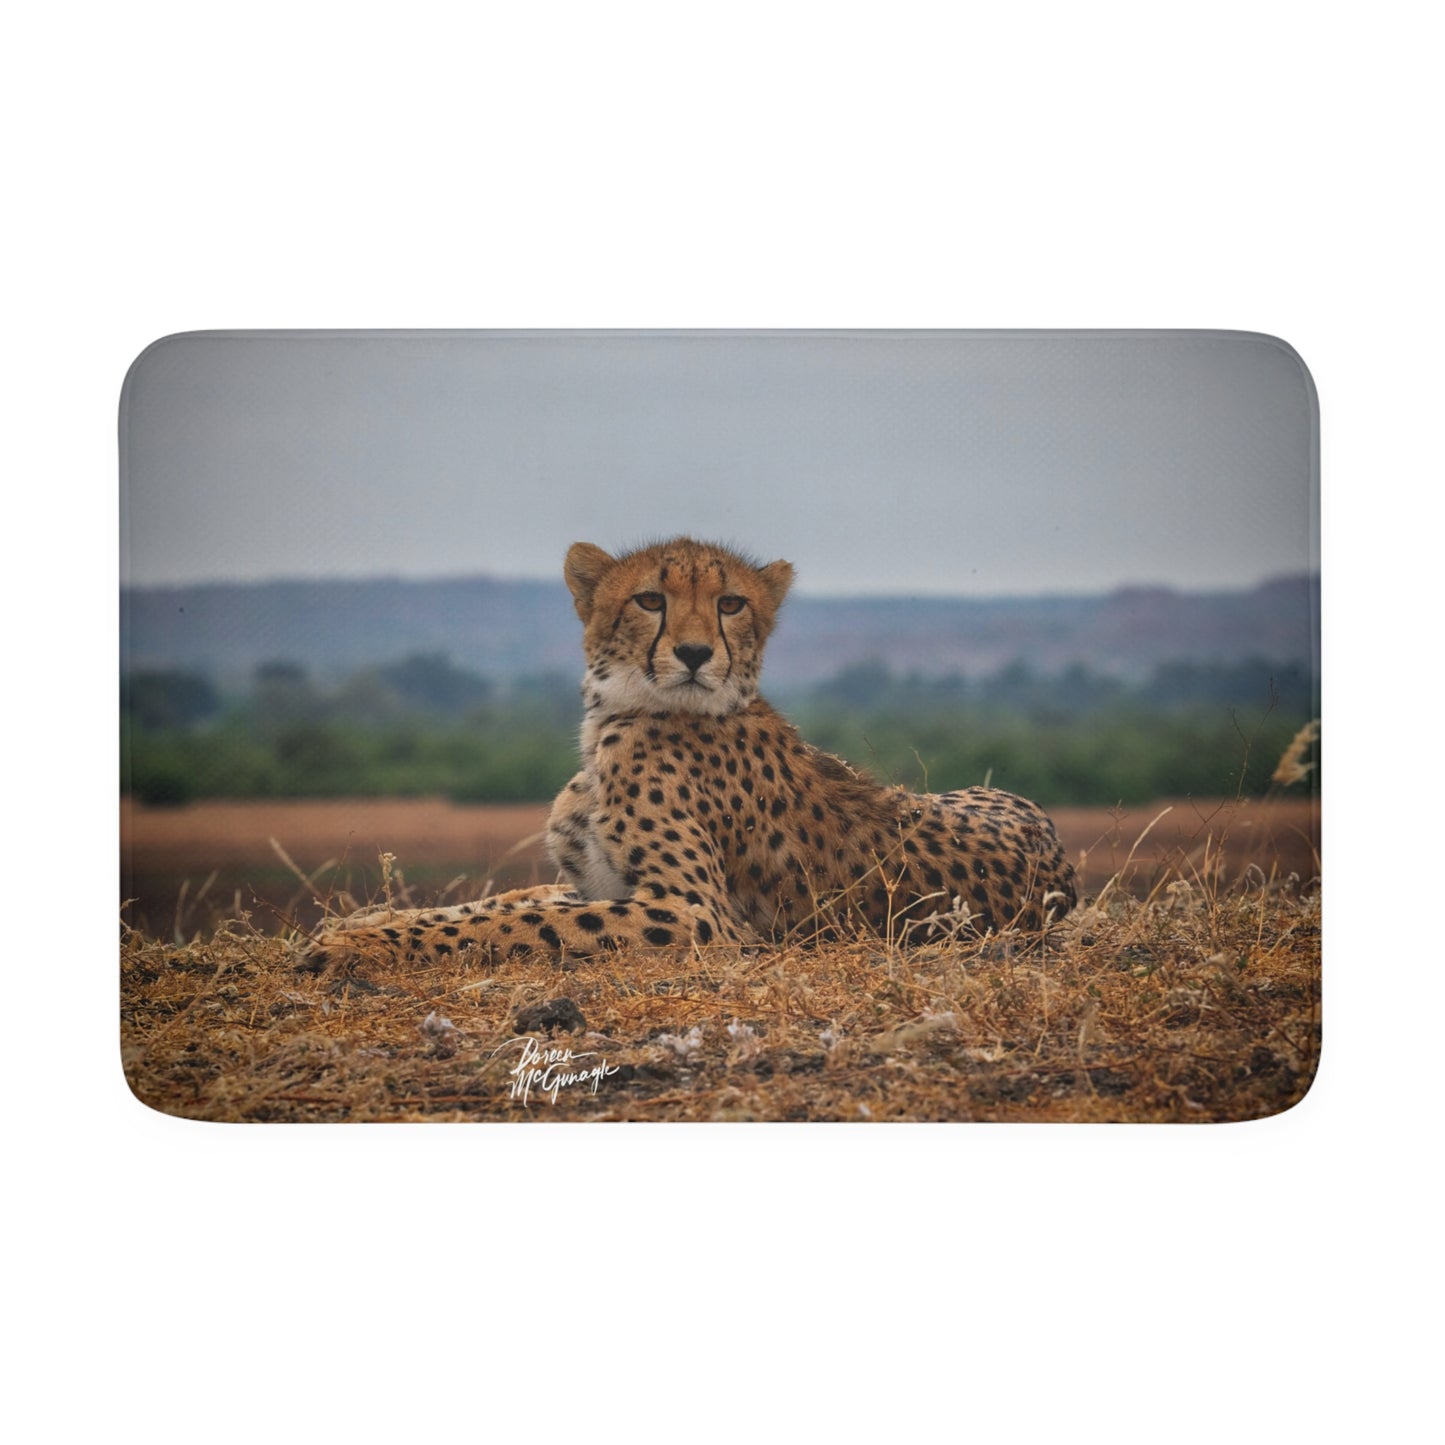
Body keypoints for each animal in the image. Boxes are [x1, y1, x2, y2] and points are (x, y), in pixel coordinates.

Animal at [300, 537, 1076, 972]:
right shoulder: (597, 882)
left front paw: (353, 948)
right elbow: (497, 903)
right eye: (650, 599)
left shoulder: (694, 913)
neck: (616, 717)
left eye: (731, 603)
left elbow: (514, 922)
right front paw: (357, 926)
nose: (697, 652)